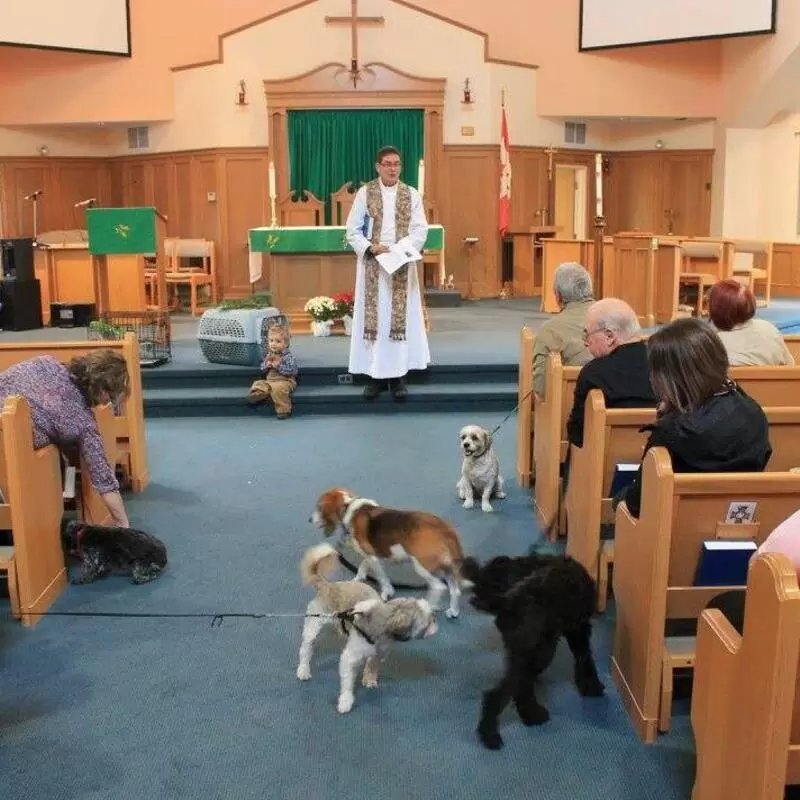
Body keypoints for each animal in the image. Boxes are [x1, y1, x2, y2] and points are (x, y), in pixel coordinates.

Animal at [462, 552, 608, 752]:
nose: (476, 598)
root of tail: (509, 601)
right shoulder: (578, 628)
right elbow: (584, 657)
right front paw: (590, 684)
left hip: (527, 653)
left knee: (520, 685)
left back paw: (528, 714)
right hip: (540, 652)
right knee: (499, 693)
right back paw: (492, 733)